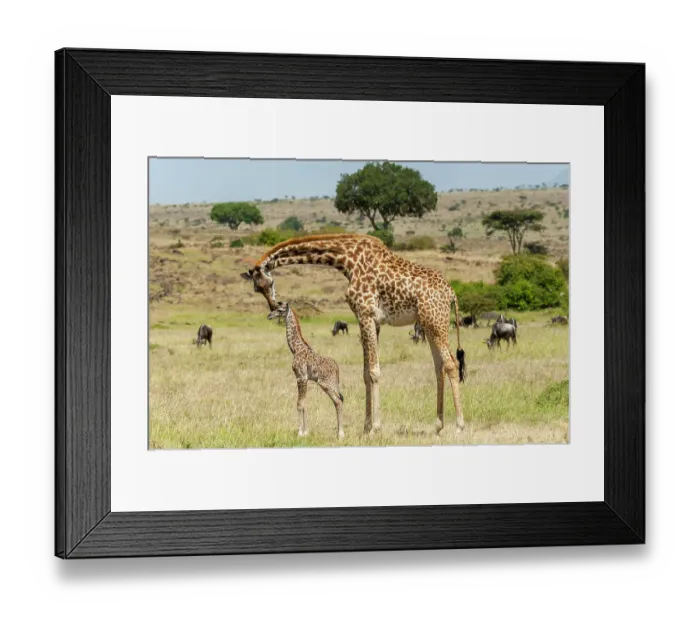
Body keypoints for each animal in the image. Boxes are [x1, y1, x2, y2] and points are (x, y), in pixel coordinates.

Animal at [267, 301, 345, 440]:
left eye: (280, 310)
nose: (269, 316)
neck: (295, 349)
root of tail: (337, 368)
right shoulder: (305, 379)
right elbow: (304, 404)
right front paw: (306, 432)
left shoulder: (300, 377)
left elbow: (299, 404)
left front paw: (300, 432)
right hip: (331, 384)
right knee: (339, 401)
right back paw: (338, 433)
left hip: (326, 384)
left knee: (338, 401)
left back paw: (341, 434)